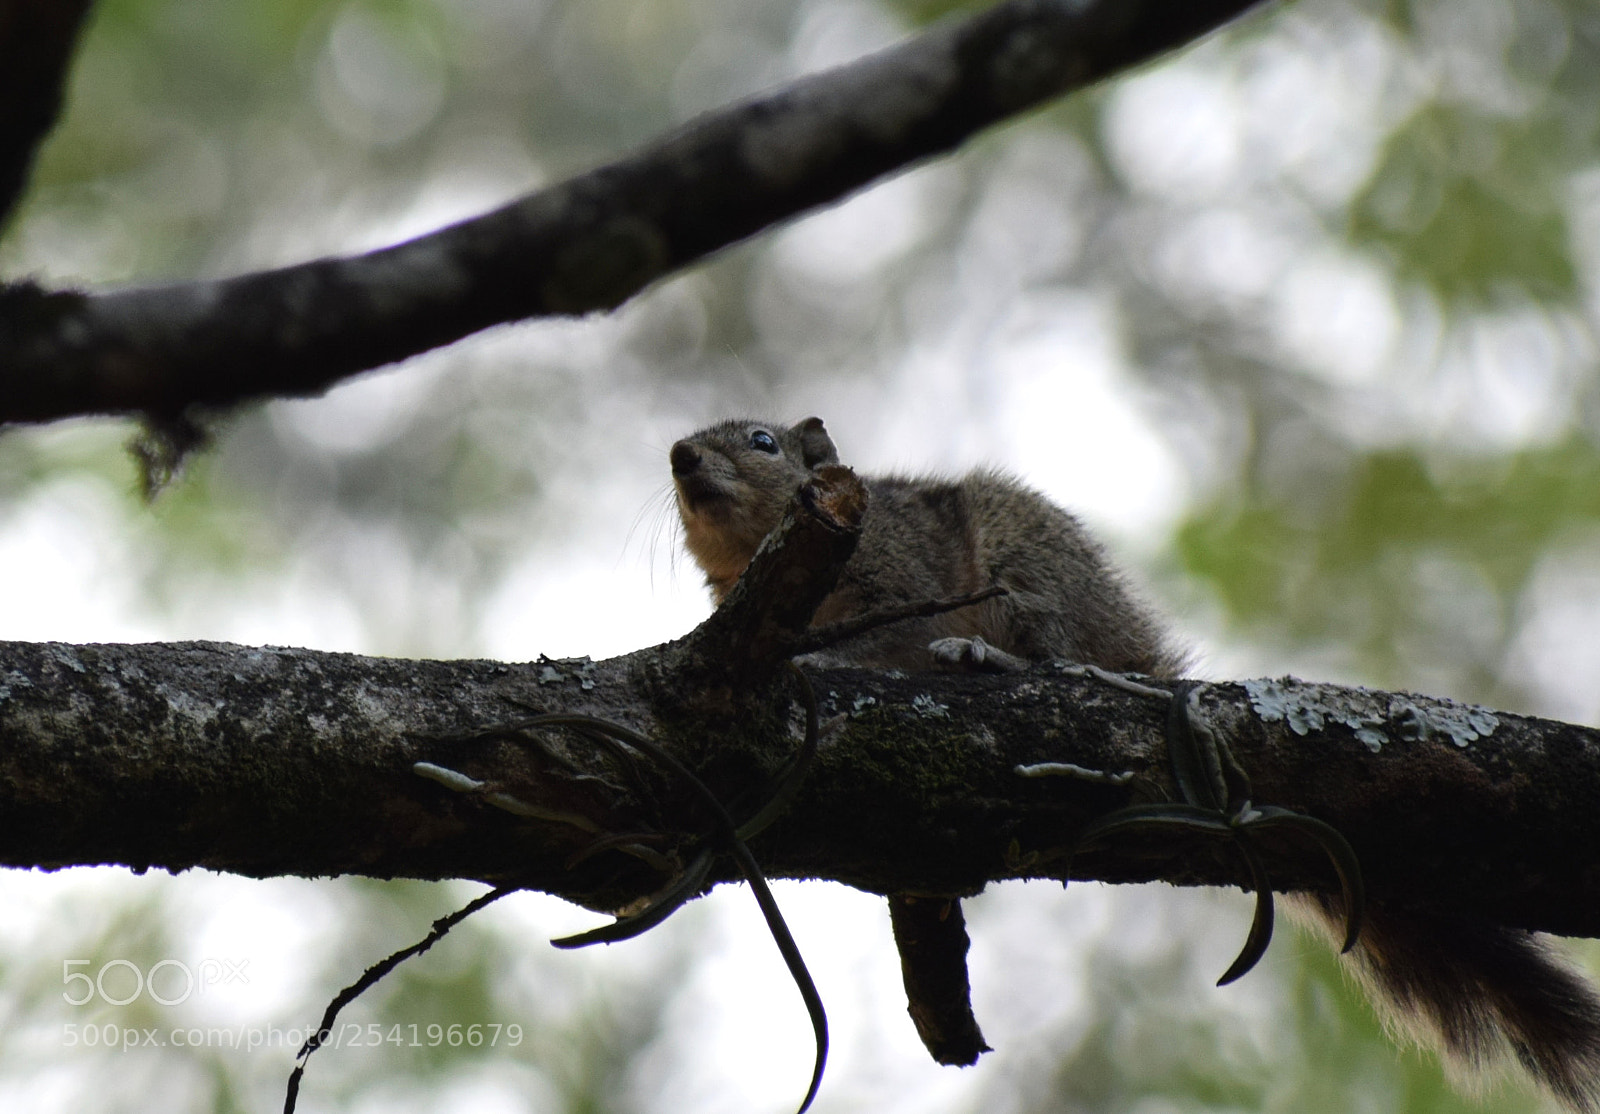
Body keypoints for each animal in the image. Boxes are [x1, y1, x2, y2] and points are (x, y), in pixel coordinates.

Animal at [668, 415, 1600, 1109]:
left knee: (1061, 659)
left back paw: (984, 656)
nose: (680, 456)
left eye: (762, 441)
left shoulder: (900, 576)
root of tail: (1136, 648)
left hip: (1030, 576)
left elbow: (876, 635)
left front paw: (825, 657)